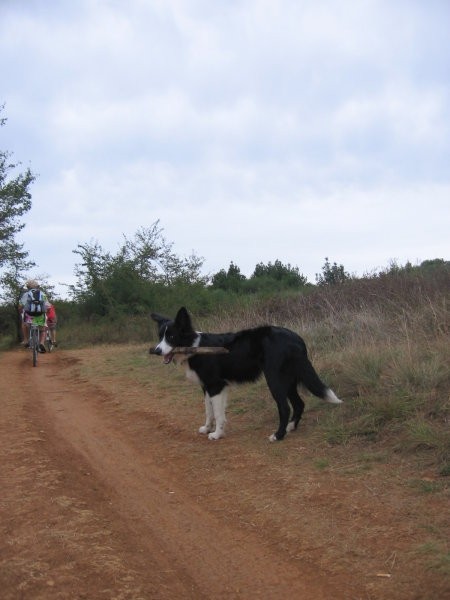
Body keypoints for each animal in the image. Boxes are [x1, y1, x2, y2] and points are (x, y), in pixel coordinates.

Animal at [150, 310, 342, 440]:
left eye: (171, 337)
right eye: (160, 336)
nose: (156, 351)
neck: (194, 346)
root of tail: (297, 339)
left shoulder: (215, 386)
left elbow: (217, 413)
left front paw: (216, 434)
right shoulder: (208, 387)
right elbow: (209, 411)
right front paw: (207, 428)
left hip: (274, 379)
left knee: (285, 407)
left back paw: (278, 435)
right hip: (287, 380)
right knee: (299, 403)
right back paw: (291, 427)